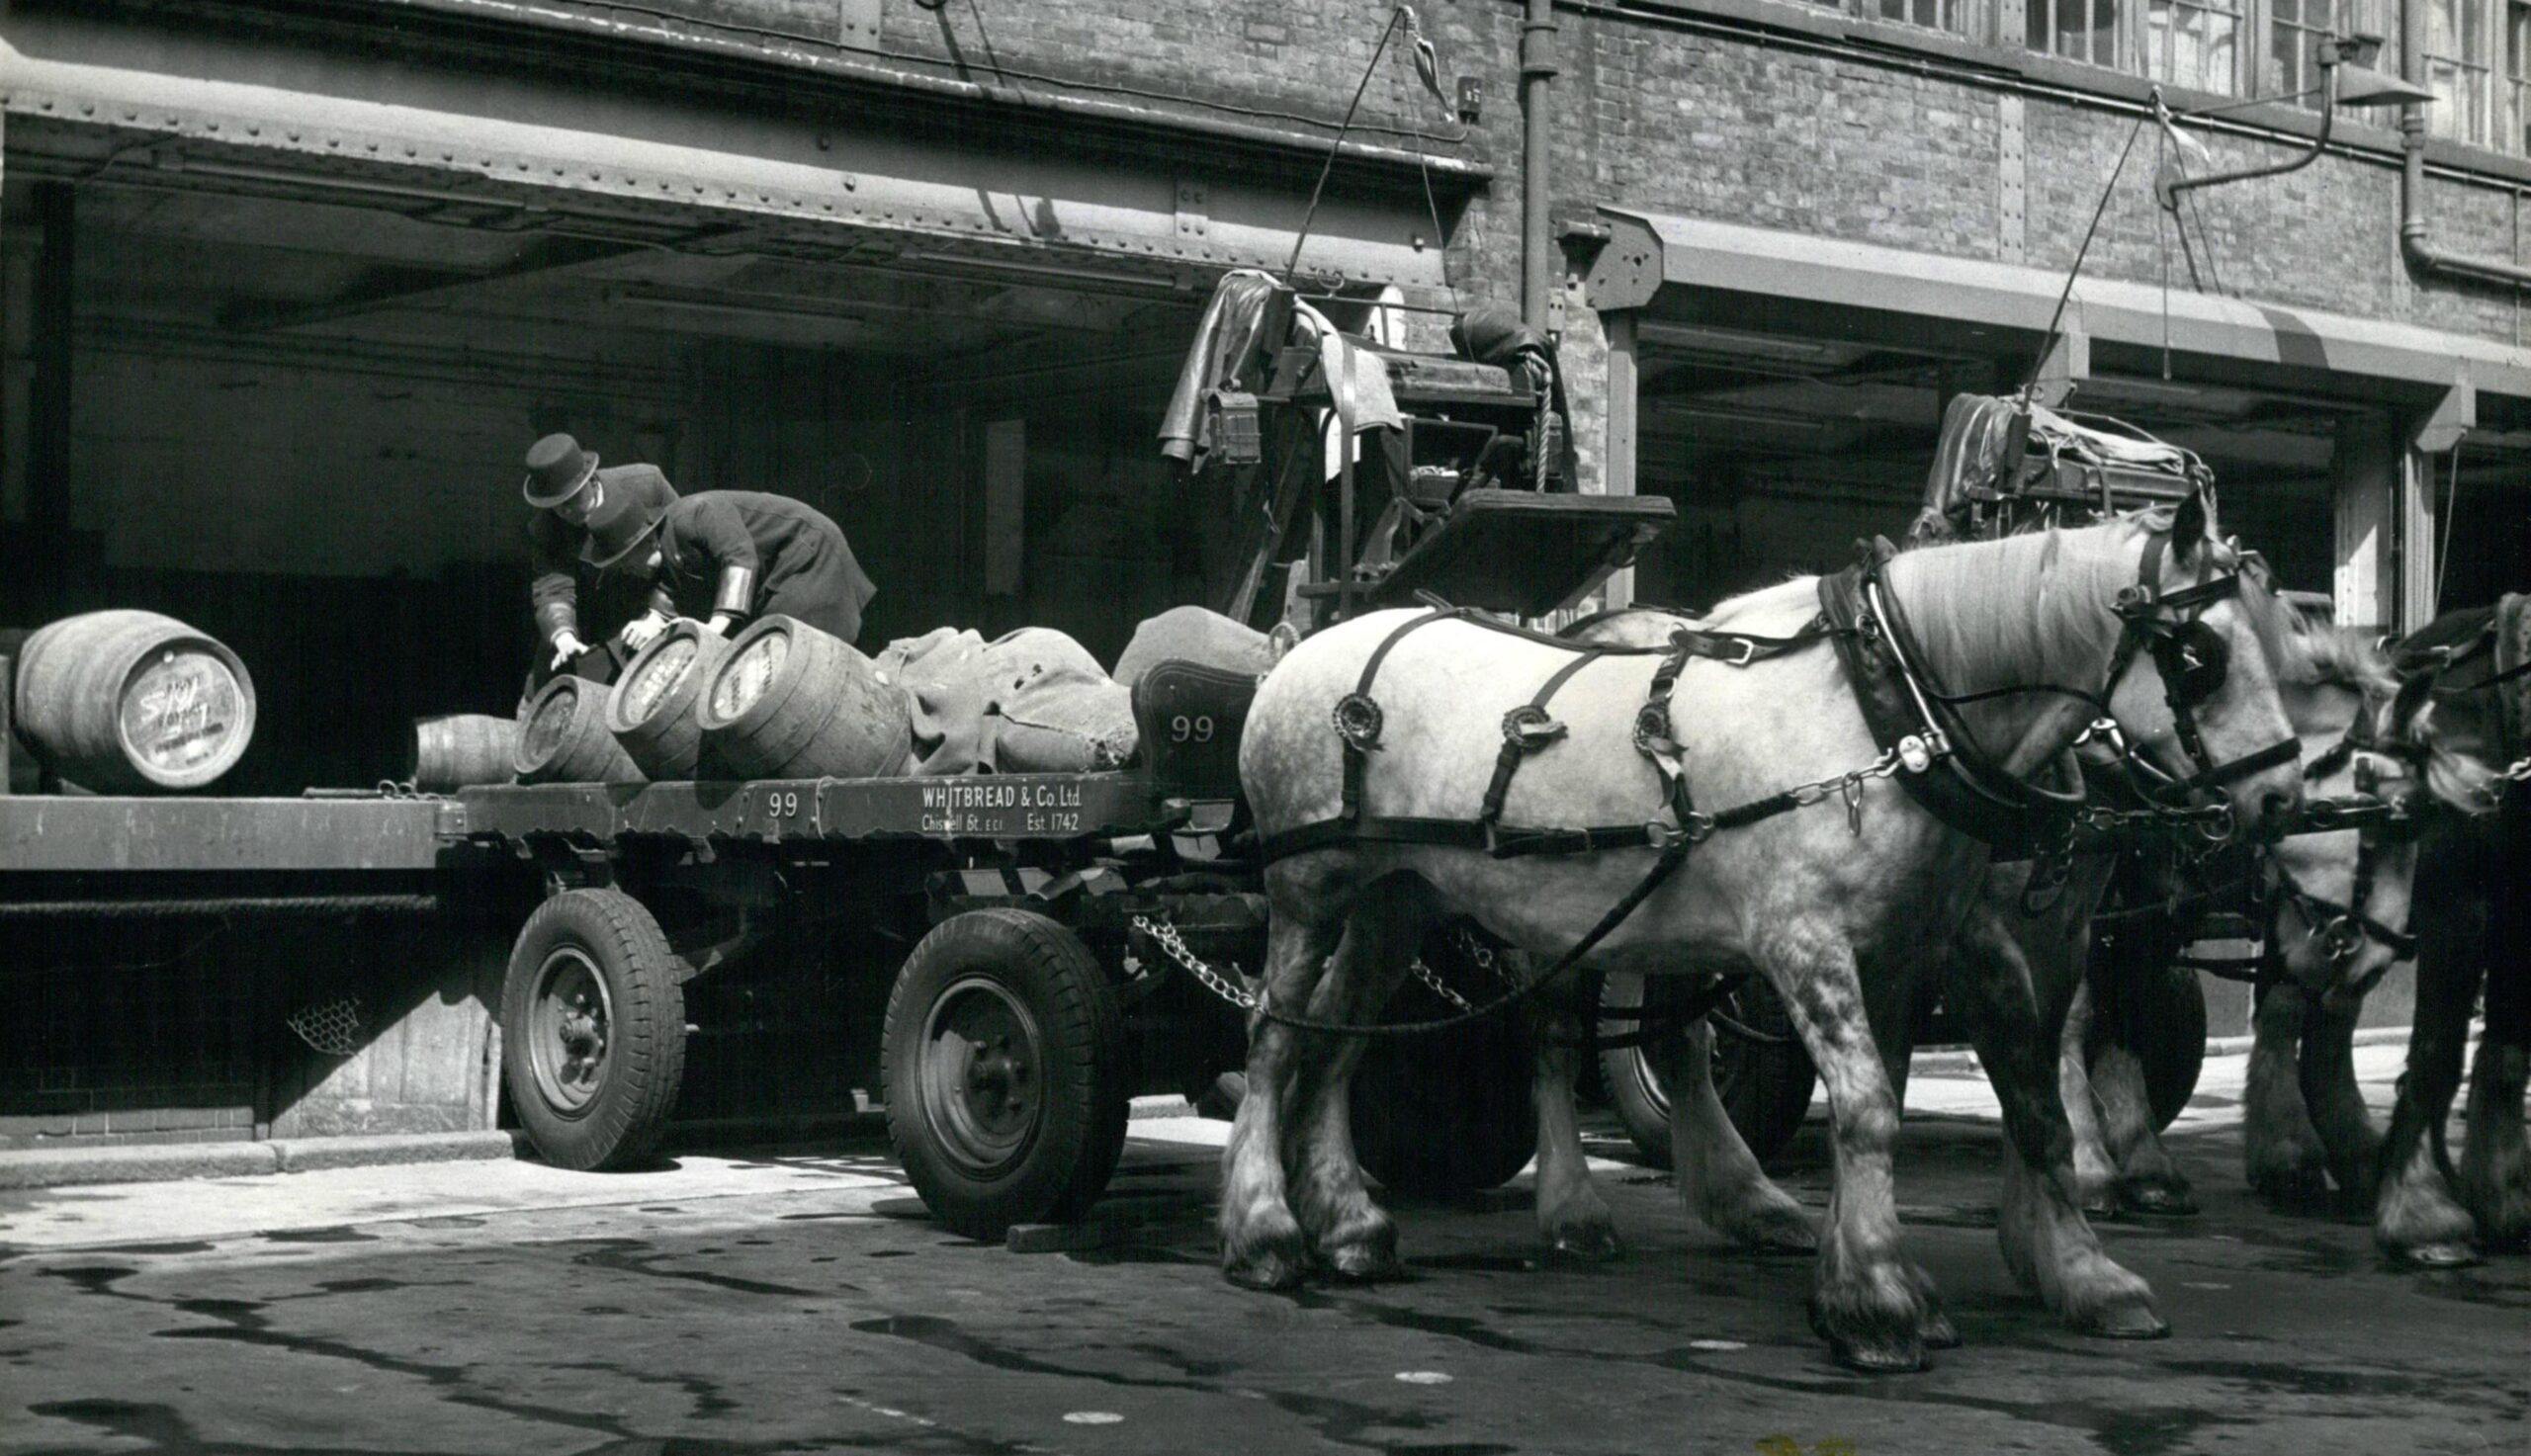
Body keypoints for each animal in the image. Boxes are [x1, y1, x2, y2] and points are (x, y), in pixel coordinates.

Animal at [1225, 498, 2317, 1367]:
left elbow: (1979, 1105)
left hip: (1398, 901)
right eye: (2200, 656)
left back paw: (1354, 1224)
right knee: (1280, 1040)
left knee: (1338, 1045)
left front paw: (2038, 1271)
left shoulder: (1907, 949)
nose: (2283, 800)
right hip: (1309, 890)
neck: (1887, 712)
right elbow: (1871, 1108)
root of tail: (1304, 649)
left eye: (2287, 653)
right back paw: (1268, 1230)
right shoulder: (1808, 943)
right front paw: (1879, 1301)